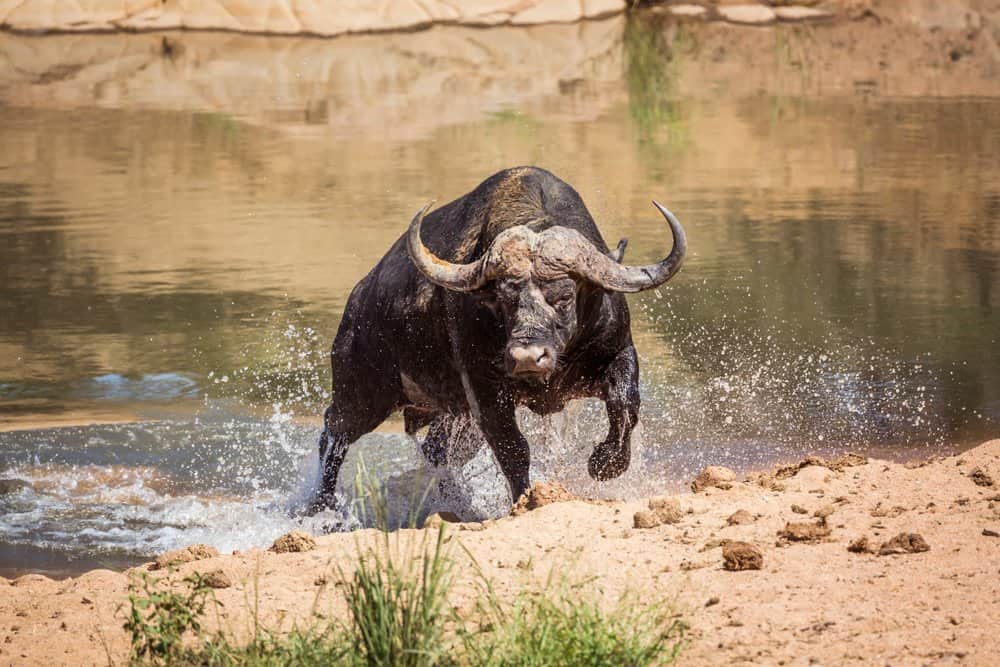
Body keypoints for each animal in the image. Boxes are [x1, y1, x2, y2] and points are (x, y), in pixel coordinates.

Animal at [314, 167, 688, 512]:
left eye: (564, 296)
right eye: (505, 298)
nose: (527, 357)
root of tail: (359, 298)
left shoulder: (618, 351)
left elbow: (625, 406)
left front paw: (605, 463)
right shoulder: (484, 389)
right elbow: (513, 449)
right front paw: (526, 499)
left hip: (451, 414)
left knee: (437, 451)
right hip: (362, 393)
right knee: (334, 435)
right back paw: (321, 507)